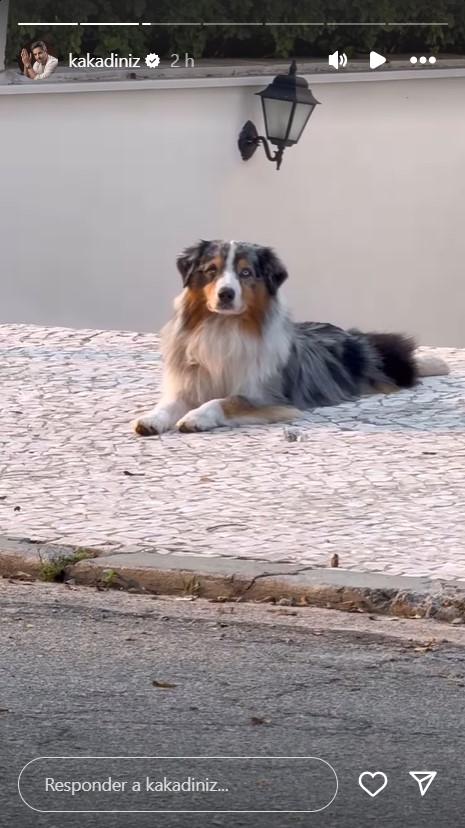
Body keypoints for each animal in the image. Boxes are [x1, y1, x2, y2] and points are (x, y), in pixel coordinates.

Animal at [131, 241, 450, 436]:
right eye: (212, 270)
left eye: (246, 272)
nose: (226, 294)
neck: (224, 327)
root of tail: (349, 334)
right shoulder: (189, 384)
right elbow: (169, 404)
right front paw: (151, 419)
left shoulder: (267, 396)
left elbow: (222, 401)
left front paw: (195, 417)